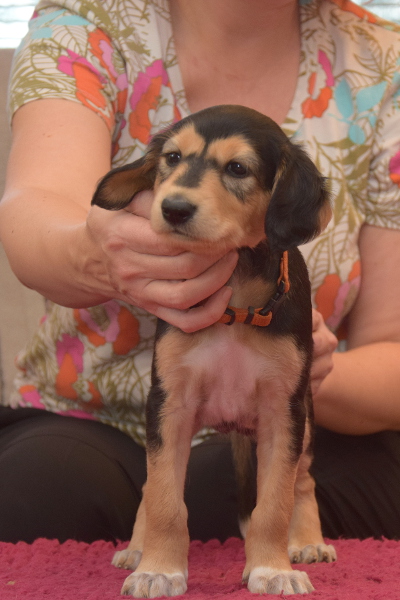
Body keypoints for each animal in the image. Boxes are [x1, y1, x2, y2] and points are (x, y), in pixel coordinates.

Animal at [91, 105, 336, 596]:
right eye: (172, 158)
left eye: (237, 168)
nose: (173, 208)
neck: (234, 307)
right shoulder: (170, 405)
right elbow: (164, 498)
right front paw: (159, 568)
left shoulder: (283, 411)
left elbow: (274, 503)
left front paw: (272, 569)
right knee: (149, 487)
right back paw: (137, 548)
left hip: (306, 418)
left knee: (302, 481)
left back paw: (306, 541)